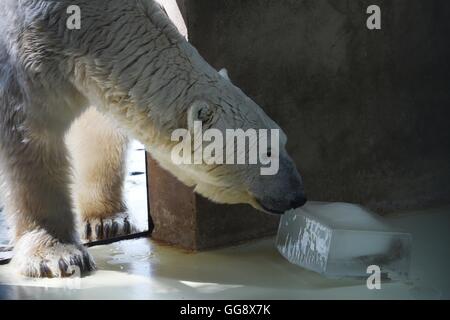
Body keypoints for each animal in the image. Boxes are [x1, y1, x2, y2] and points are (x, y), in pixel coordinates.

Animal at [0, 0, 306, 278]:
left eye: (283, 141)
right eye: (267, 153)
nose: (298, 196)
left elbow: (100, 130)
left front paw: (109, 221)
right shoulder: (29, 53)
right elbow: (30, 136)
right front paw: (59, 255)